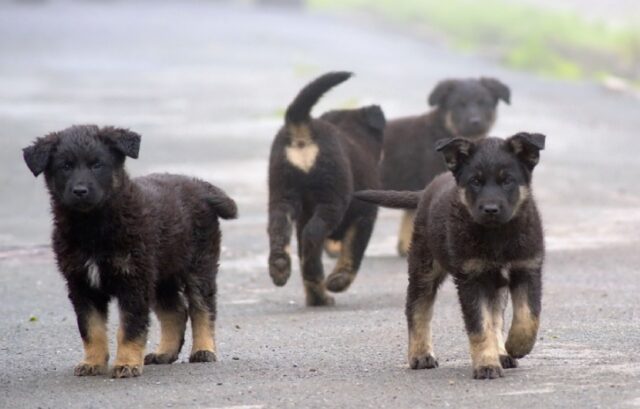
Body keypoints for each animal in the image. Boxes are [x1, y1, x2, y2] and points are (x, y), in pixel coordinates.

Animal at [22, 126, 239, 378]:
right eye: (65, 166)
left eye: (97, 165)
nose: (80, 191)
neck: (93, 226)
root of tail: (198, 185)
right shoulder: (81, 284)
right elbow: (91, 328)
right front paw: (93, 362)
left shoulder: (133, 280)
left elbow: (130, 327)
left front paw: (126, 363)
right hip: (161, 274)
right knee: (176, 311)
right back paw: (164, 353)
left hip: (198, 266)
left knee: (202, 308)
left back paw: (203, 350)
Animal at [268, 71, 388, 304]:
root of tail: (302, 126)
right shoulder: (365, 216)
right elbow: (352, 252)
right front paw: (338, 281)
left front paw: (317, 297)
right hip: (331, 199)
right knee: (313, 236)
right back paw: (315, 274)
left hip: (282, 193)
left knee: (280, 229)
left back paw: (280, 267)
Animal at [356, 132, 544, 378]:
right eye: (475, 181)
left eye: (507, 181)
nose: (490, 209)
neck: (497, 235)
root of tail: (427, 190)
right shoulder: (471, 278)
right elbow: (479, 326)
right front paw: (486, 365)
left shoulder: (527, 268)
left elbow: (528, 316)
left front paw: (515, 346)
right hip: (424, 268)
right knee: (417, 309)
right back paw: (420, 355)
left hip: (493, 284)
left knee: (496, 316)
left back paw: (502, 353)